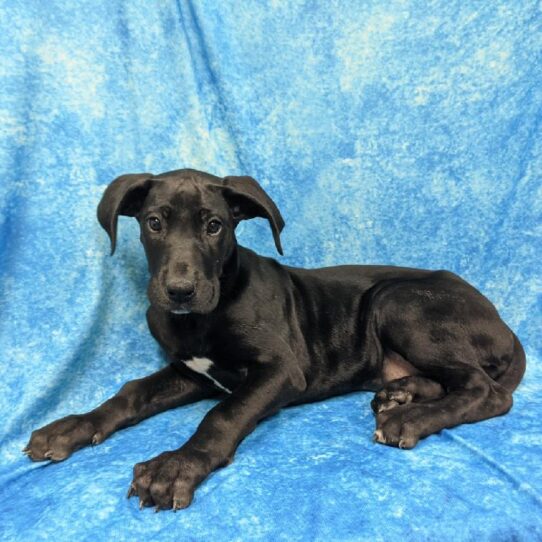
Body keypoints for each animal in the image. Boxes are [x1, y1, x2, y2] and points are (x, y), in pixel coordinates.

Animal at [24, 171, 528, 516]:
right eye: (153, 223)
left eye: (214, 226)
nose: (180, 292)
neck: (204, 316)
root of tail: (502, 321)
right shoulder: (192, 372)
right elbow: (131, 393)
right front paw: (71, 427)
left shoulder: (281, 370)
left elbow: (223, 415)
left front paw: (176, 467)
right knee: (454, 380)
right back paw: (401, 394)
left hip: (397, 300)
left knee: (486, 390)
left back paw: (411, 418)